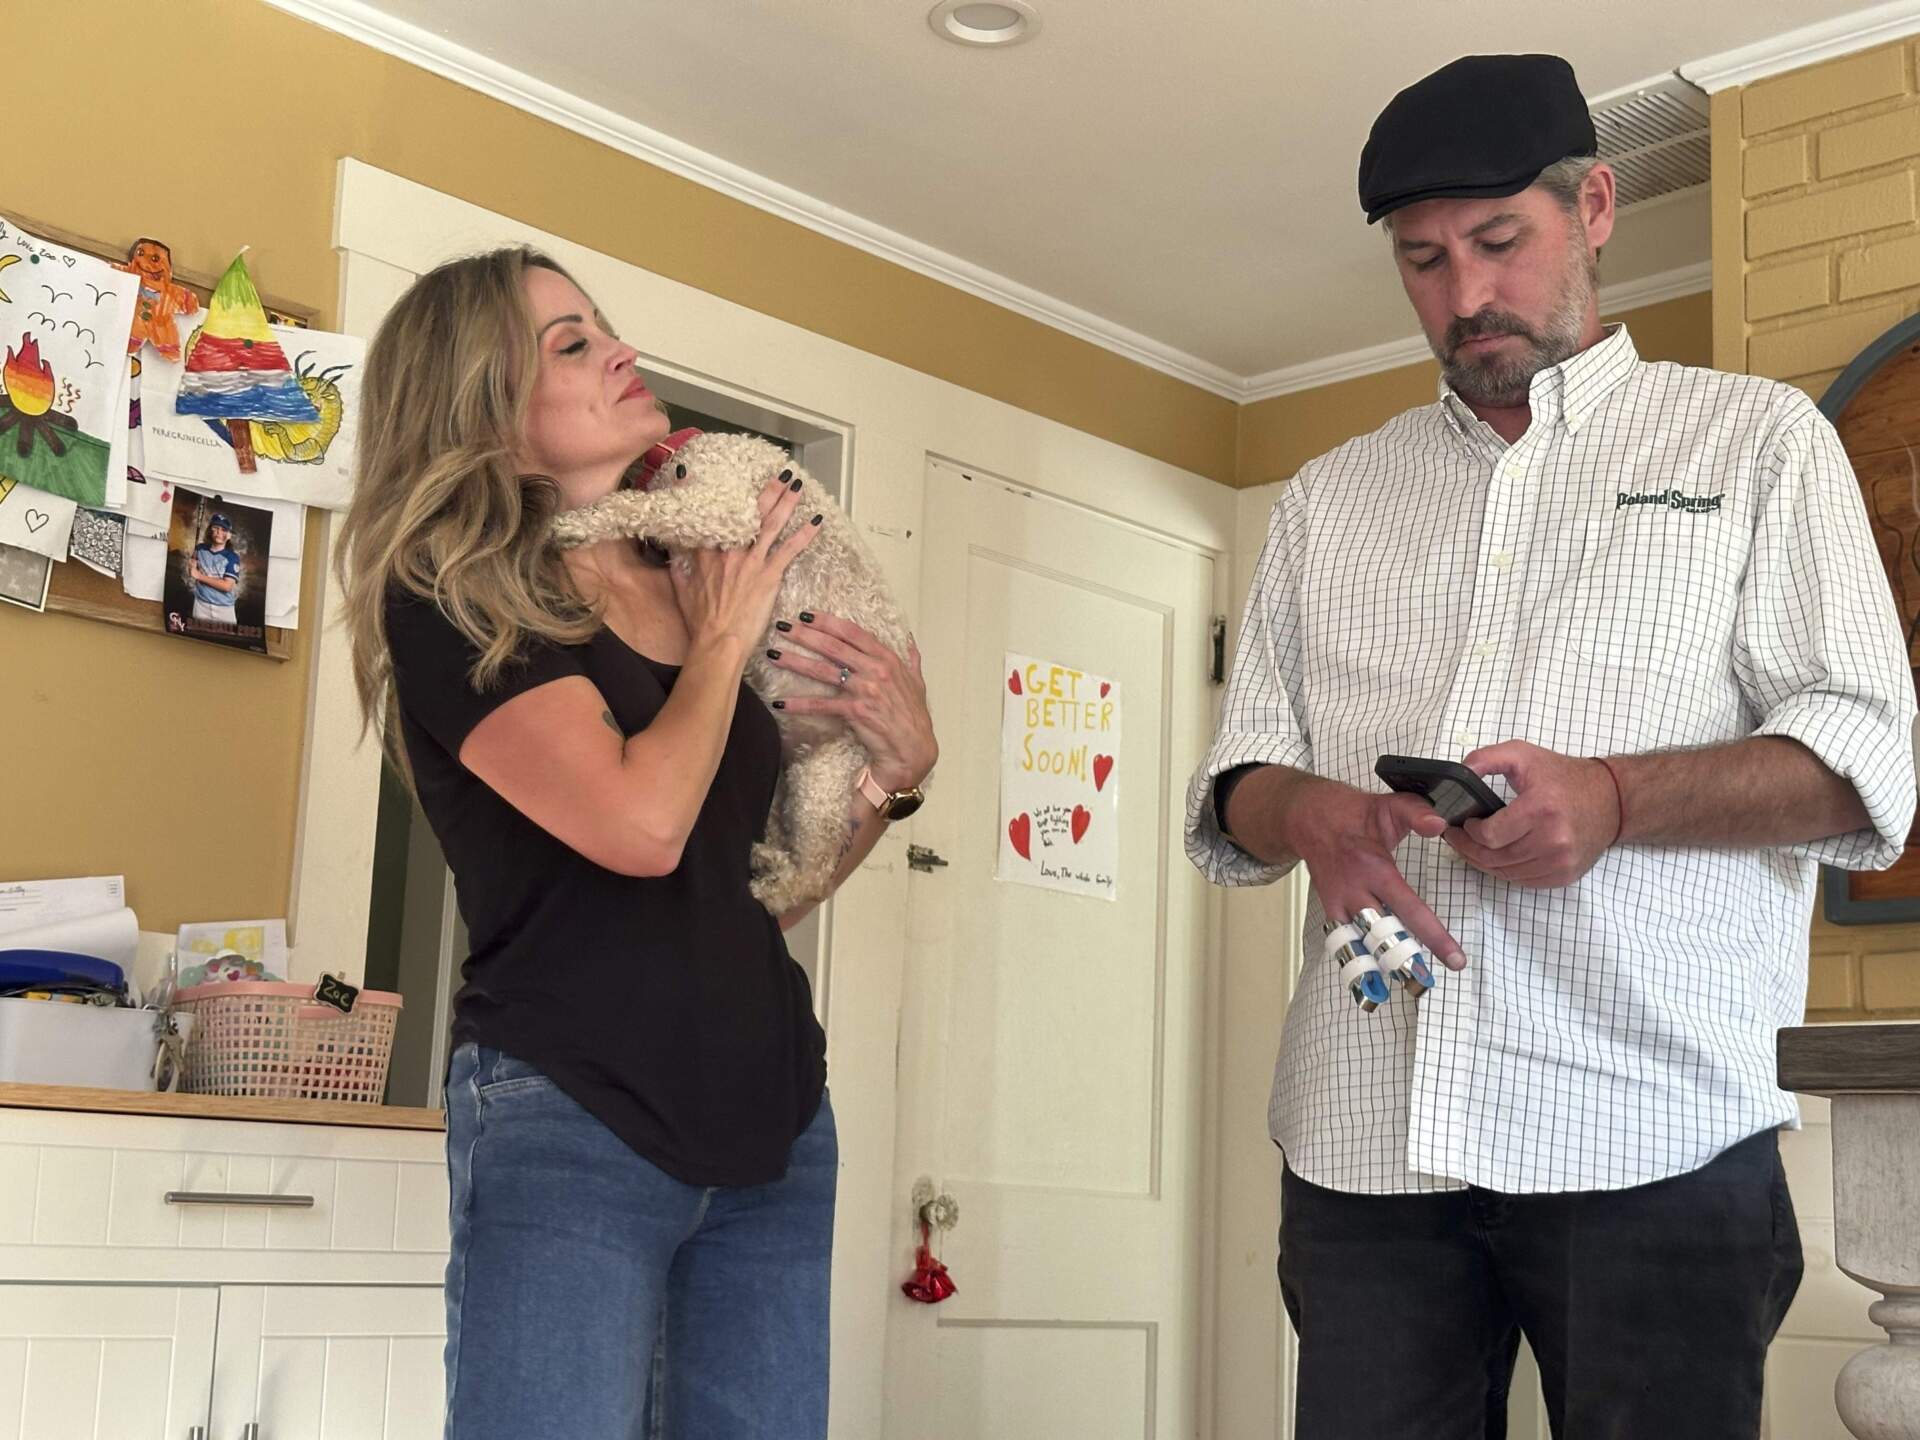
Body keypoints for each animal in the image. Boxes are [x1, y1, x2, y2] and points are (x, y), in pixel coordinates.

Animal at [552, 428, 917, 917]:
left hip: (823, 780)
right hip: (793, 781)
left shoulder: (728, 508)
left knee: (817, 876)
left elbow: (641, 506)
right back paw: (769, 857)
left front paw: (578, 522)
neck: (678, 460)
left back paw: (773, 890)